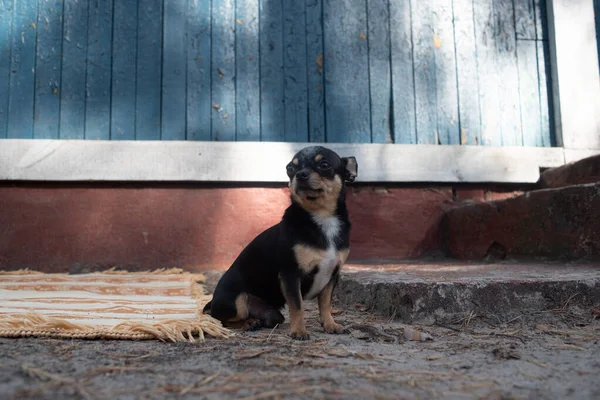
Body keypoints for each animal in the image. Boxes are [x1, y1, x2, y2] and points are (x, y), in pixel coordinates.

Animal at [204, 145, 358, 340]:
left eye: (324, 165)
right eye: (290, 169)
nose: (300, 174)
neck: (322, 217)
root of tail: (212, 302)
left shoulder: (332, 276)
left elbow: (325, 304)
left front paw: (330, 325)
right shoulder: (290, 275)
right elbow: (297, 306)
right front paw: (299, 331)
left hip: (273, 314)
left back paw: (255, 321)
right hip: (237, 301)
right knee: (221, 320)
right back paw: (248, 323)